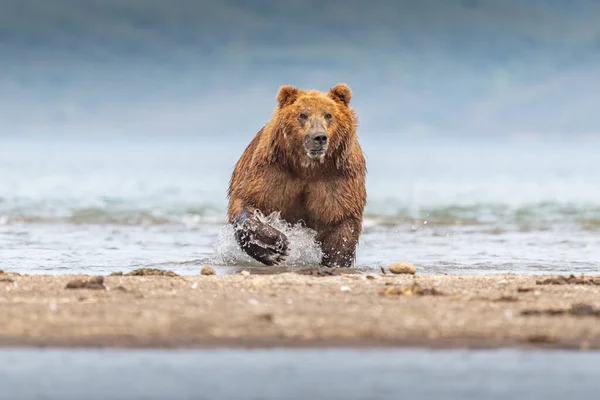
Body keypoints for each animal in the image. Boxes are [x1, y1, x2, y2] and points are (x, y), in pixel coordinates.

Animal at [225, 82, 366, 268]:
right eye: (303, 114)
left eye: (328, 114)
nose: (319, 137)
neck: (308, 168)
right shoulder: (273, 170)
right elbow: (248, 200)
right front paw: (273, 246)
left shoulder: (338, 177)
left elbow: (341, 220)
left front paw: (335, 262)